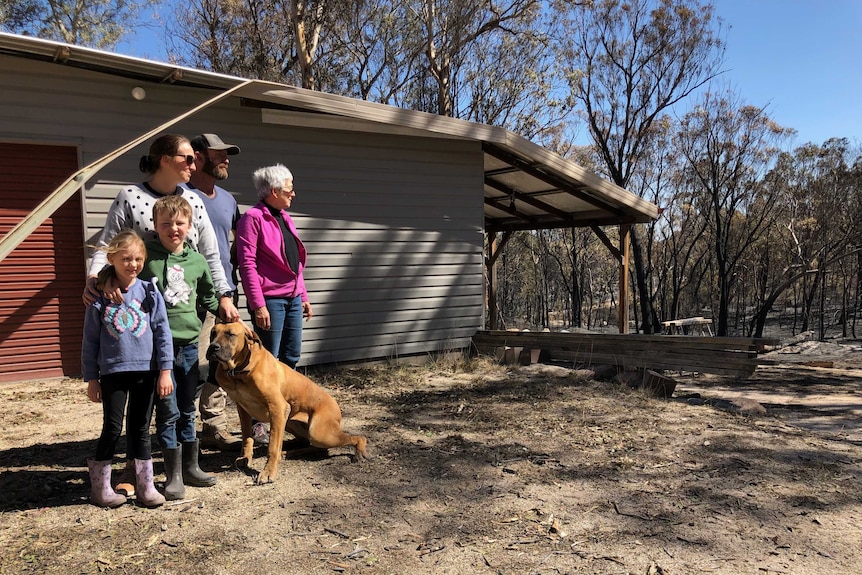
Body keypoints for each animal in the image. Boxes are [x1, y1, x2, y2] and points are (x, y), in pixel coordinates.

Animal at [207, 322, 368, 484]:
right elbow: (247, 437)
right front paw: (245, 458)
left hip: (318, 433)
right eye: (213, 333)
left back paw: (358, 452)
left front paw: (268, 472)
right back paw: (289, 450)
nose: (213, 347)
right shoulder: (243, 409)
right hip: (291, 422)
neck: (237, 371)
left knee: (357, 437)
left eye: (230, 334)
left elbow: (272, 447)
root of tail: (336, 406)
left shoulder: (277, 408)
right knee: (307, 443)